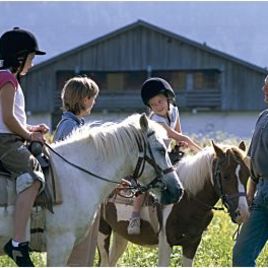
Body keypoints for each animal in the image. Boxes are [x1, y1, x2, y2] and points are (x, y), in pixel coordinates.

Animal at [97, 141, 250, 266]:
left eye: (247, 175)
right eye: (225, 176)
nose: (242, 213)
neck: (186, 201)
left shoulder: (192, 244)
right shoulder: (165, 243)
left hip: (120, 234)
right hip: (102, 231)